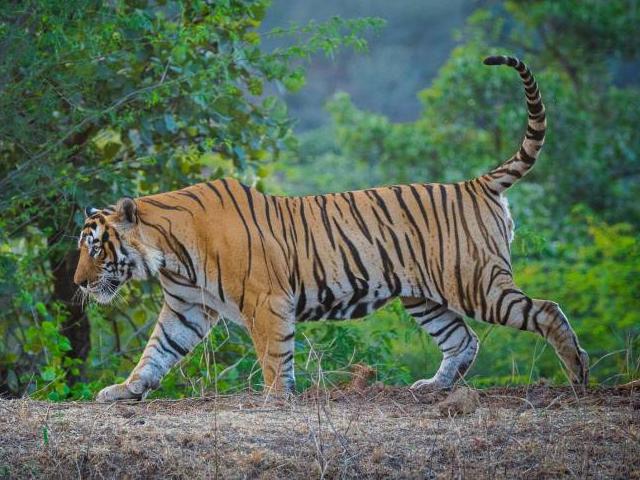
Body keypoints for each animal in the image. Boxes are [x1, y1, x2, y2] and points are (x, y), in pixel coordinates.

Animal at [75, 56, 592, 402]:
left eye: (96, 248)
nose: (78, 283)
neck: (169, 254)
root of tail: (475, 182)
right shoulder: (187, 307)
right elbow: (155, 353)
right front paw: (124, 391)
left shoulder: (266, 301)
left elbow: (273, 355)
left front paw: (276, 399)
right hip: (424, 295)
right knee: (462, 340)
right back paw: (432, 386)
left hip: (475, 281)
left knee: (547, 311)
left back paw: (578, 375)